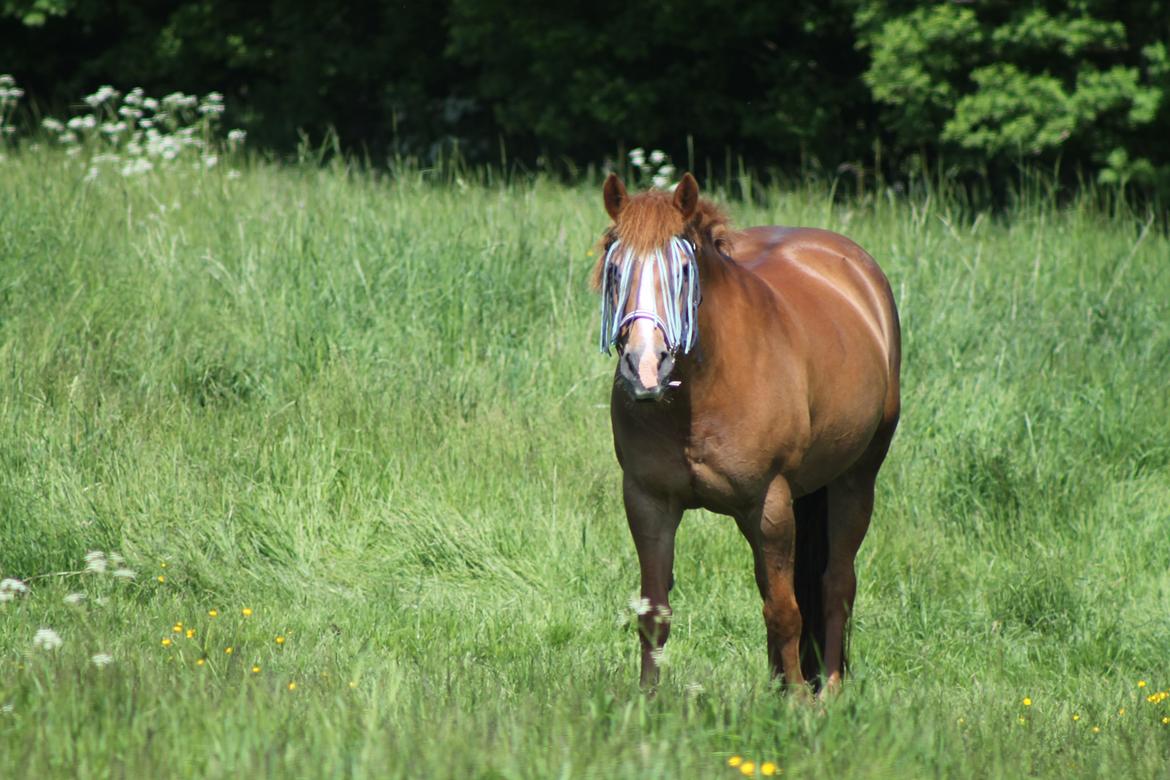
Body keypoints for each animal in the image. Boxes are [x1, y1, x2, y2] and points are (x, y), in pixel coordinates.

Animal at [594, 174, 903, 692]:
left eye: (683, 270)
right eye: (616, 270)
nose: (645, 368)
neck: (700, 395)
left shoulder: (769, 505)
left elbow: (784, 612)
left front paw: (798, 701)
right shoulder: (648, 502)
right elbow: (654, 613)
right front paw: (647, 699)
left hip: (856, 479)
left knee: (837, 584)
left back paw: (830, 690)